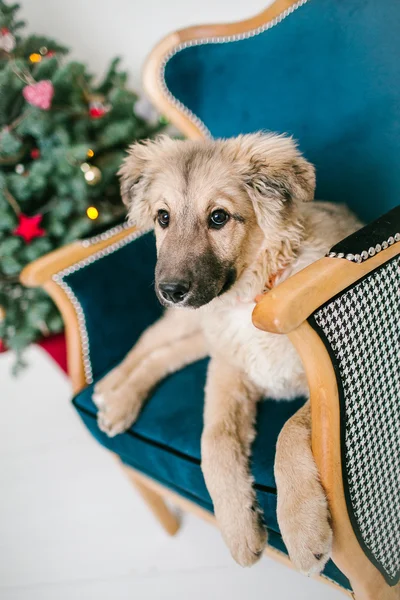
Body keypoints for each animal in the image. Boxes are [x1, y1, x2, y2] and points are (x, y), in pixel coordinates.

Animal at [94, 135, 362, 572]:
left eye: (219, 217)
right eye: (163, 218)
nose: (169, 290)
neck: (249, 300)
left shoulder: (325, 387)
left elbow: (288, 431)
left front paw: (300, 527)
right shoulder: (226, 370)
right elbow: (214, 442)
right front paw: (238, 530)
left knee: (164, 352)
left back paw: (117, 398)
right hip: (193, 325)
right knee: (151, 339)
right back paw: (113, 391)